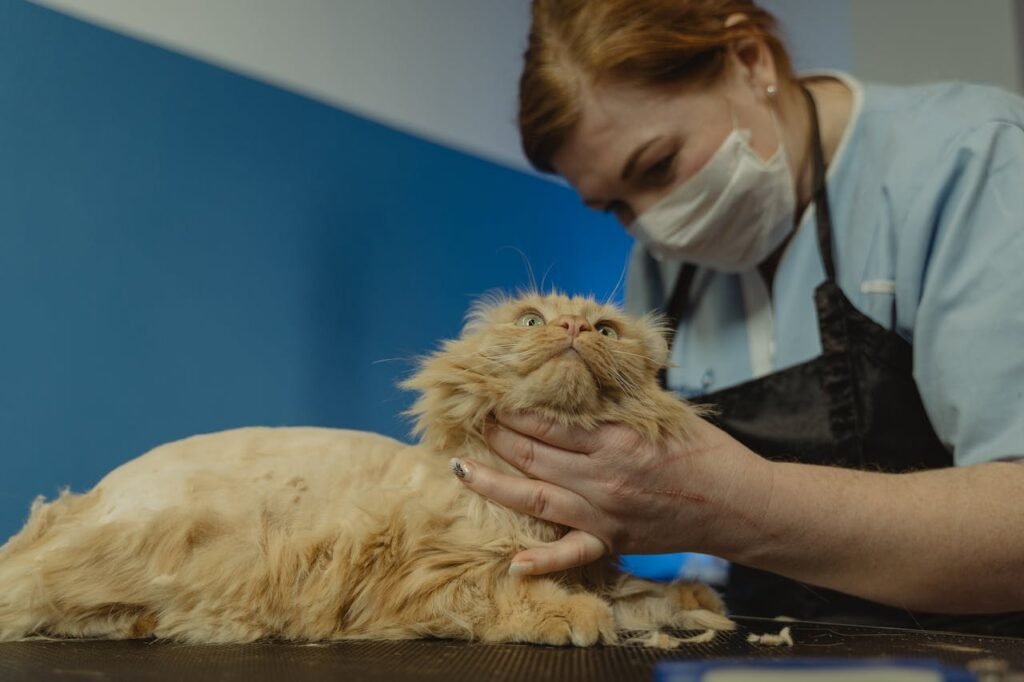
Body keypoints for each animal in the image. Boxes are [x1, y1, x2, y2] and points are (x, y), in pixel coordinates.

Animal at [0, 288, 737, 647]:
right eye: (532, 320)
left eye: (606, 331)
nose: (574, 330)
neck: (532, 511)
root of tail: (79, 500)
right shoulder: (418, 570)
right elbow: (504, 587)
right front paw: (571, 616)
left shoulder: (592, 557)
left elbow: (637, 593)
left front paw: (695, 603)